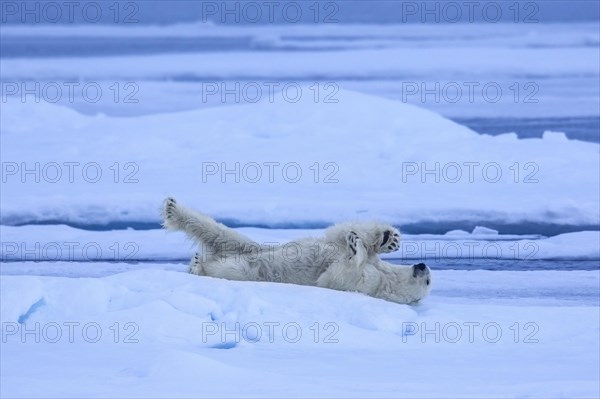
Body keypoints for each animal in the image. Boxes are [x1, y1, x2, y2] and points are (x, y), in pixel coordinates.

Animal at [161, 198, 432, 306]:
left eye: (428, 281)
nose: (422, 265)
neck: (387, 277)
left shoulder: (365, 285)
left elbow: (334, 276)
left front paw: (356, 250)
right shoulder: (371, 264)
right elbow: (339, 235)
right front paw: (387, 238)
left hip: (252, 269)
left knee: (231, 266)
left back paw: (198, 264)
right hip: (249, 246)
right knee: (218, 232)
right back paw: (172, 208)